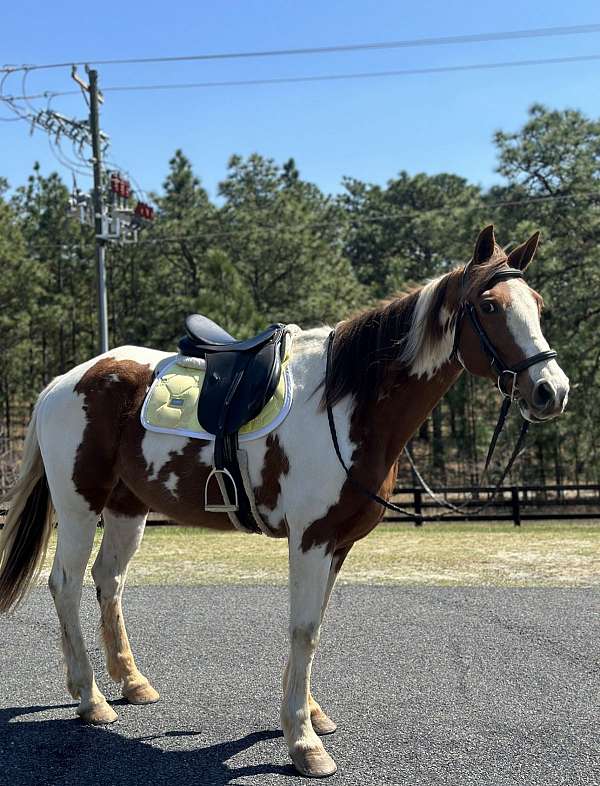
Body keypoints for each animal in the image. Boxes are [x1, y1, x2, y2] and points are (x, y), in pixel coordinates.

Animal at [0, 224, 568, 776]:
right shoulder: (311, 539)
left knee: (108, 581)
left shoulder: (337, 544)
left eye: (539, 305)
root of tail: (64, 381)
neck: (345, 402)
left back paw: (132, 682)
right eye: (490, 306)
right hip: (79, 506)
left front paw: (310, 716)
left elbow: (315, 627)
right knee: (66, 584)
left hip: (127, 508)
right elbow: (304, 629)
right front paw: (304, 742)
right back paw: (90, 699)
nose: (552, 390)